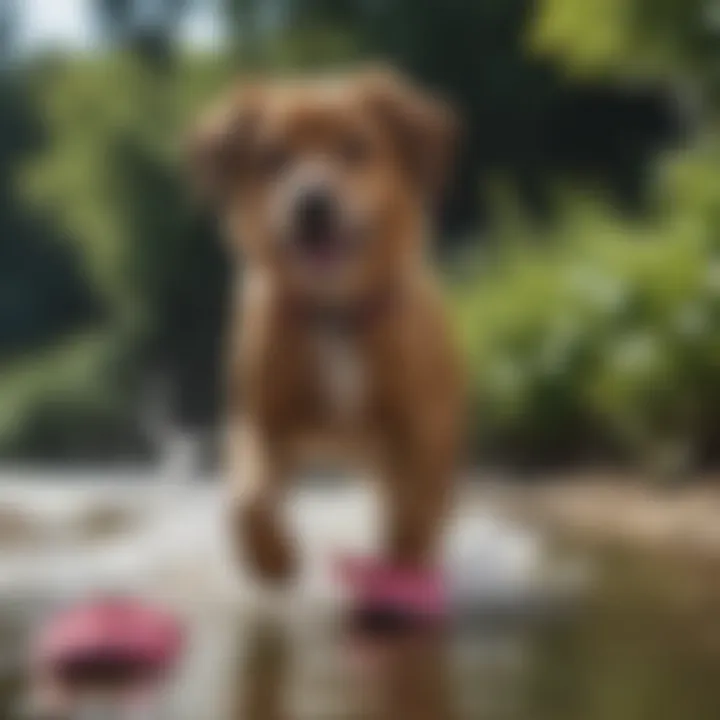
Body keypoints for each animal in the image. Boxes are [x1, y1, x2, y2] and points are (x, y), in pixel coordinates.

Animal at [188, 67, 464, 616]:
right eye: (273, 157)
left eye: (355, 147)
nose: (312, 201)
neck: (334, 315)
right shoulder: (259, 419)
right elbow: (248, 498)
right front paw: (273, 558)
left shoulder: (420, 430)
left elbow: (413, 514)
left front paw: (400, 576)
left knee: (424, 505)